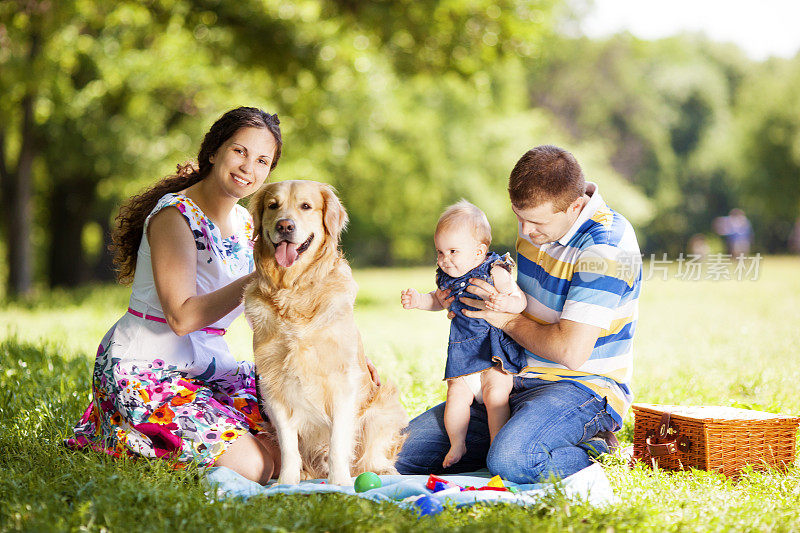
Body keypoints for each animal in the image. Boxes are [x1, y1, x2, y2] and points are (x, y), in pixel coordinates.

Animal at [244, 180, 406, 486]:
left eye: (306, 206)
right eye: (273, 206)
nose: (285, 225)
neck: (293, 292)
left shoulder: (343, 382)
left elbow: (338, 441)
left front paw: (339, 483)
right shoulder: (273, 386)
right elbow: (289, 445)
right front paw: (286, 484)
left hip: (383, 404)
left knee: (370, 454)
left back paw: (379, 470)